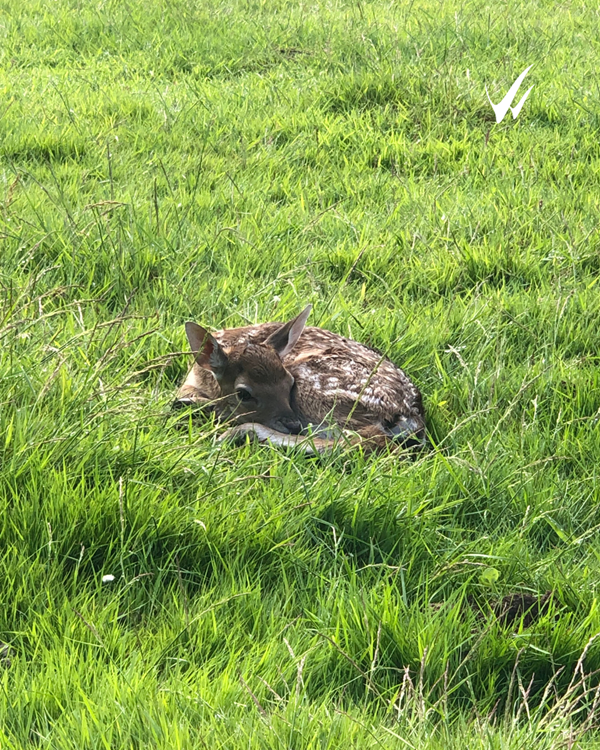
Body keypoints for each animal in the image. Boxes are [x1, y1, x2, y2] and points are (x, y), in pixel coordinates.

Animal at [173, 305, 427, 455]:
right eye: (243, 393)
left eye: (289, 384)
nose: (292, 424)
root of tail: (410, 415)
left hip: (319, 391)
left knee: (366, 441)